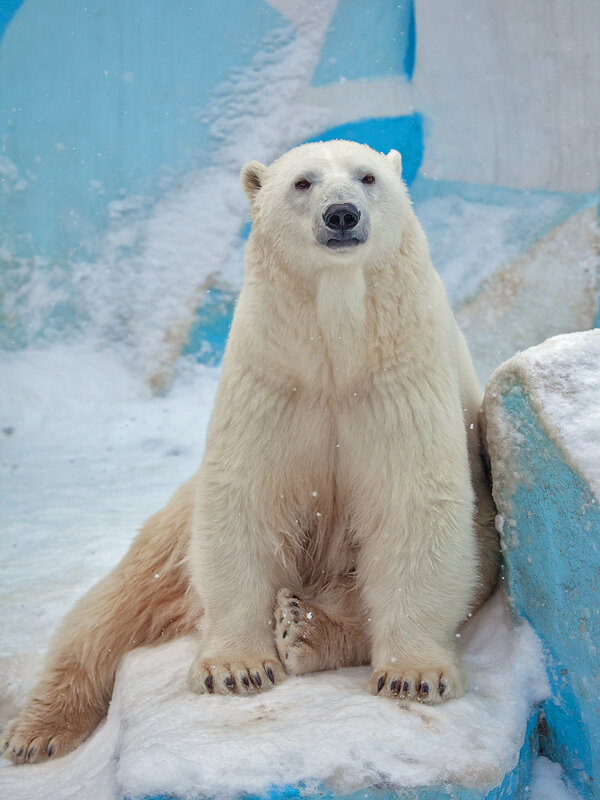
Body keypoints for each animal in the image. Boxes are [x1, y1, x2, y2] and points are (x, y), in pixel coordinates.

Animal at [1, 141, 496, 764]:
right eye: (303, 182)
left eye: (367, 177)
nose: (342, 215)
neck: (339, 348)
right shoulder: (273, 379)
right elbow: (245, 498)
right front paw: (237, 668)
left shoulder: (399, 378)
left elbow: (413, 502)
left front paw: (413, 676)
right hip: (173, 529)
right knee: (115, 607)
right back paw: (36, 731)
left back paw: (306, 627)